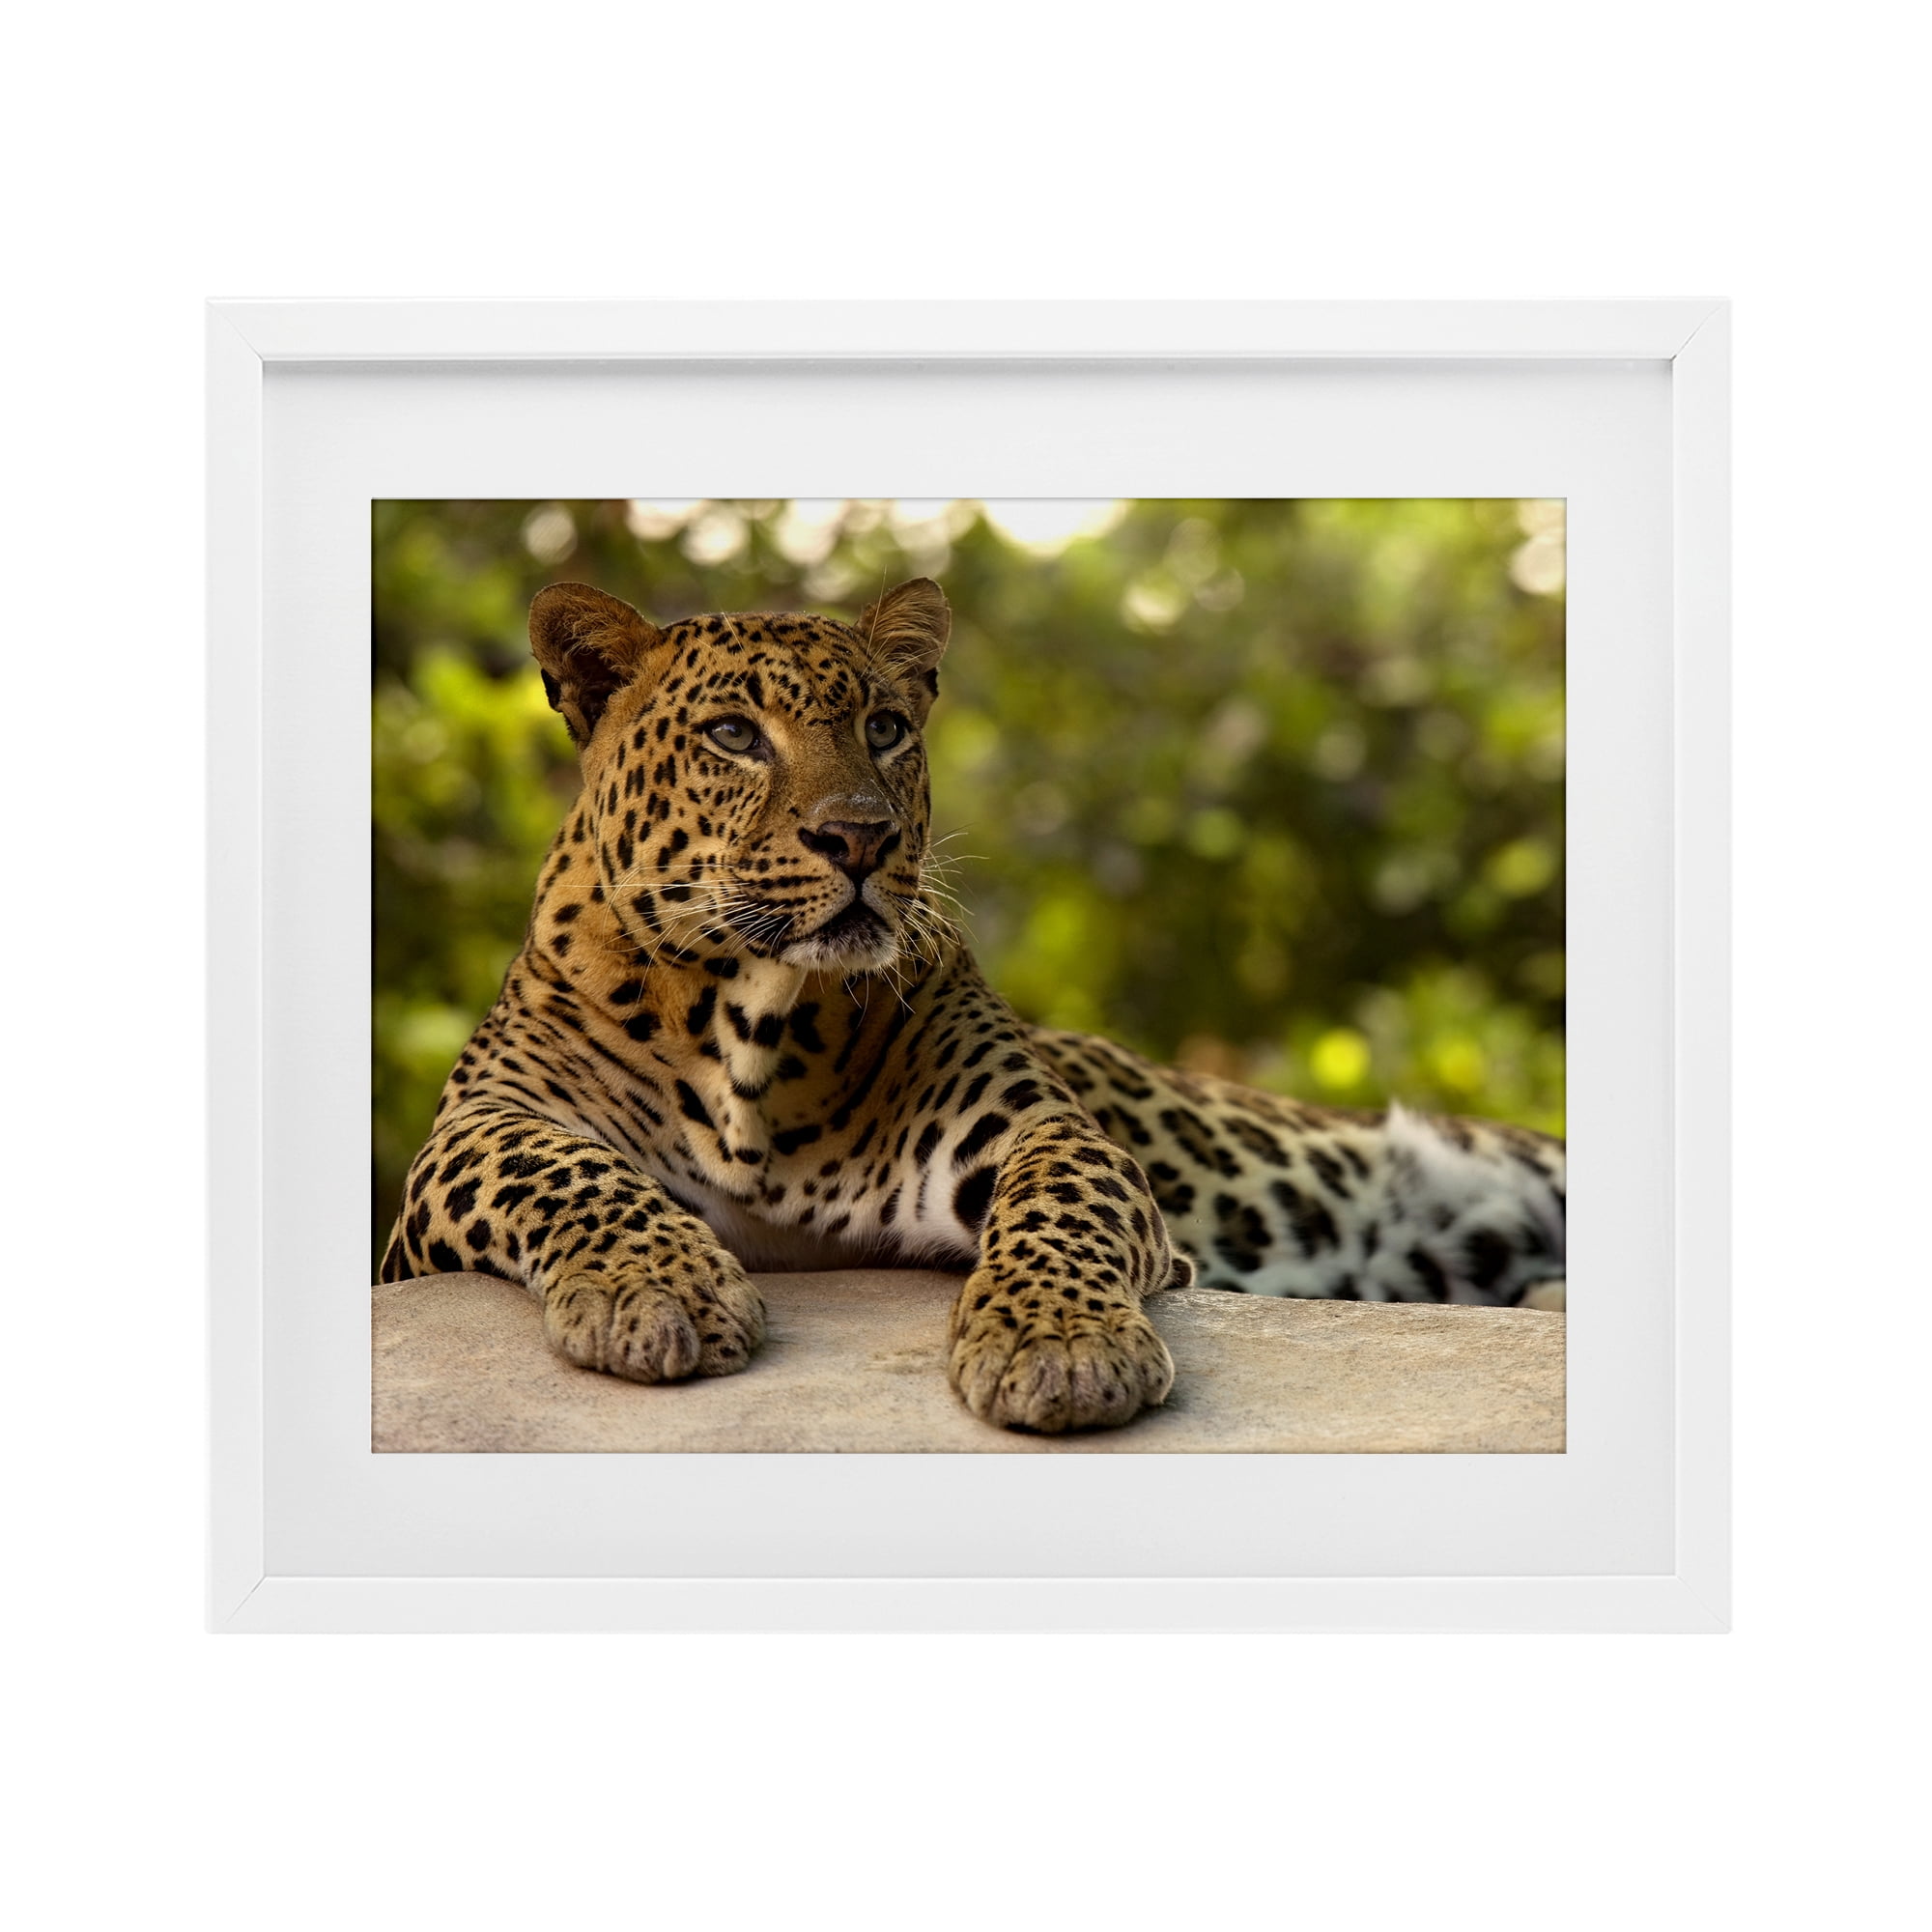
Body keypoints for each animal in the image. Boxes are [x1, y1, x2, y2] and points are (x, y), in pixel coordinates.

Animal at [380, 575, 1567, 1434]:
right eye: (733, 735)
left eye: (885, 727)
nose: (859, 837)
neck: (752, 1022)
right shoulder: (465, 1140)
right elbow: (560, 1167)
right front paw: (657, 1290)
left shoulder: (1031, 1126)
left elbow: (1059, 1202)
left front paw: (1059, 1346)